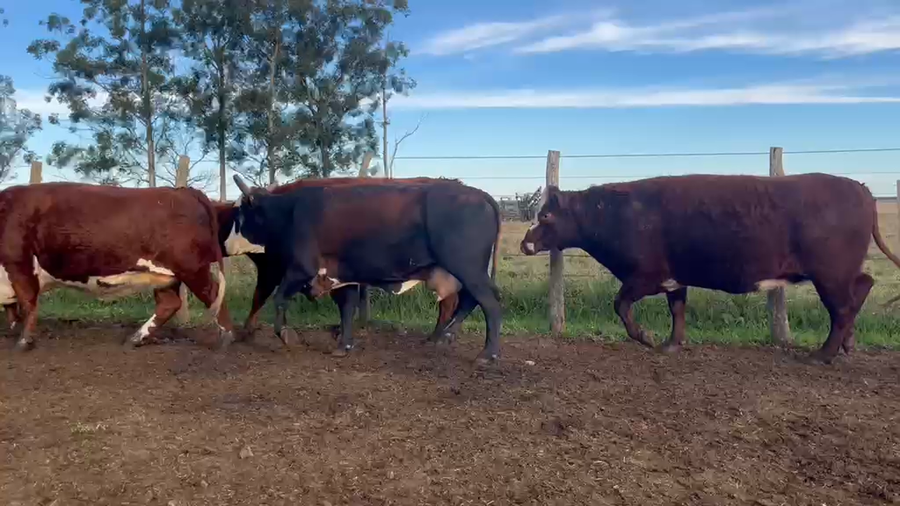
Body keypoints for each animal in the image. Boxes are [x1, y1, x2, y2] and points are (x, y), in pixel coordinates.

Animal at [0, 182, 233, 351]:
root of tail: (184, 191)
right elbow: (12, 308)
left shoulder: (18, 265)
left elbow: (28, 303)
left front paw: (23, 342)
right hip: (167, 276)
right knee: (169, 303)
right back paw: (136, 338)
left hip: (193, 269)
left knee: (213, 293)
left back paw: (226, 337)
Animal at [228, 174, 503, 364]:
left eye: (240, 215)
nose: (228, 244)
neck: (291, 211)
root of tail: (479, 194)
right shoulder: (341, 275)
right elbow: (347, 308)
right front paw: (344, 345)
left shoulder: (301, 268)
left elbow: (280, 298)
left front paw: (286, 335)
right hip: (463, 272)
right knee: (468, 301)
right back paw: (445, 337)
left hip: (468, 269)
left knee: (489, 303)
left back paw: (486, 353)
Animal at [520, 173, 900, 364]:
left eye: (546, 215)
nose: (526, 242)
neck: (618, 215)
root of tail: (862, 189)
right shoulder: (675, 277)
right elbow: (677, 310)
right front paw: (671, 344)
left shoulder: (645, 276)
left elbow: (621, 305)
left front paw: (647, 337)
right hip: (840, 273)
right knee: (861, 288)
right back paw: (847, 345)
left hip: (830, 274)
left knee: (844, 306)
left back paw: (823, 354)